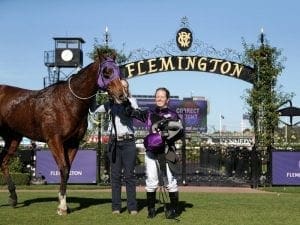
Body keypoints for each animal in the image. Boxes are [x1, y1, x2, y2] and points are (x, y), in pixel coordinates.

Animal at [0, 55, 126, 215]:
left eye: (119, 72)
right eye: (106, 72)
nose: (121, 95)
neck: (67, 101)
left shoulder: (73, 143)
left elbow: (68, 170)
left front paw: (63, 203)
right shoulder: (54, 140)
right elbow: (63, 168)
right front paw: (62, 207)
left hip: (13, 138)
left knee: (3, 163)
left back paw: (13, 198)